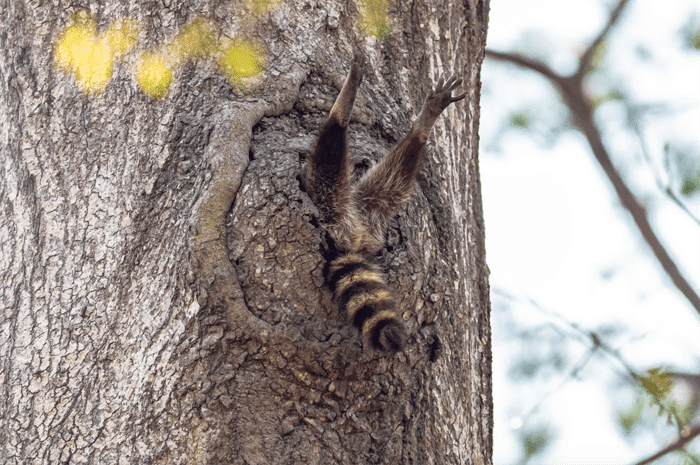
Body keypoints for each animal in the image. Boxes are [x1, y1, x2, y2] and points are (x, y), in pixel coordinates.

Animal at [304, 51, 464, 352]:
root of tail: (351, 238)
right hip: (369, 207)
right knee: (395, 177)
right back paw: (421, 129)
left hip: (332, 199)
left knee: (329, 157)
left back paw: (341, 112)